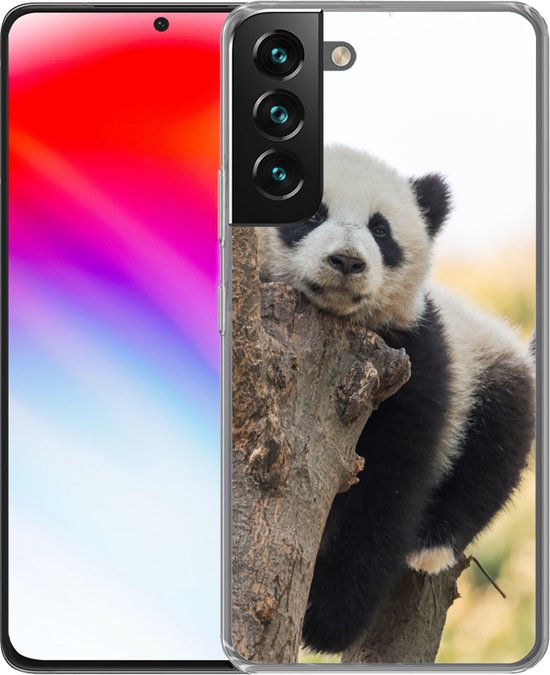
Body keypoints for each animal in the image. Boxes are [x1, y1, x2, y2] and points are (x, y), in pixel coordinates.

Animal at [256, 144, 536, 654]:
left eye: (380, 229)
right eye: (312, 213)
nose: (347, 261)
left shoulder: (414, 354)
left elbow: (392, 478)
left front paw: (326, 618)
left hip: (486, 366)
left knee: (495, 448)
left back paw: (432, 544)